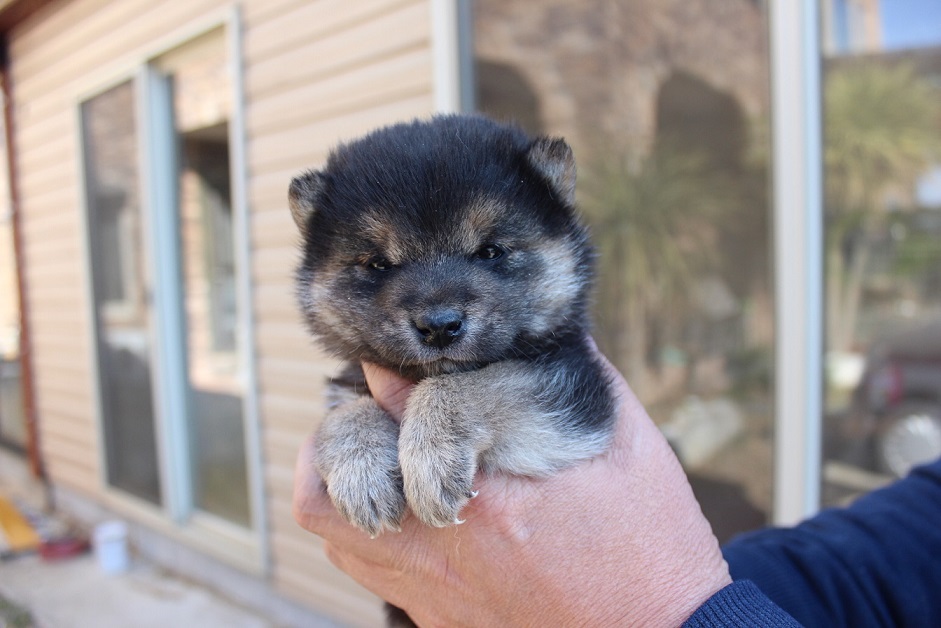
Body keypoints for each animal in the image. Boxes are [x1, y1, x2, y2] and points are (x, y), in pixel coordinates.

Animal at [290, 115, 620, 536]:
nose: (439, 326)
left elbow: (471, 384)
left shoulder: (571, 386)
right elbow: (343, 412)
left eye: (490, 251)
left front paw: (431, 454)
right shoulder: (350, 380)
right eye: (378, 264)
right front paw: (360, 468)